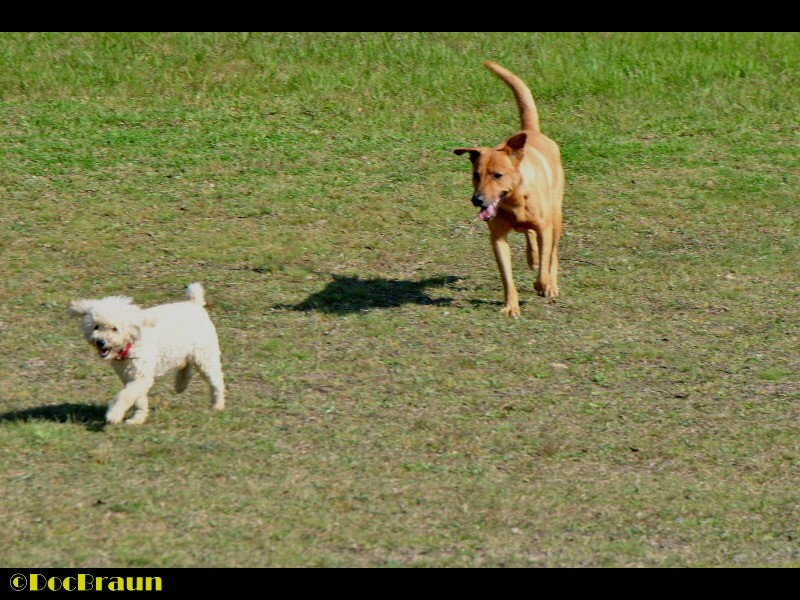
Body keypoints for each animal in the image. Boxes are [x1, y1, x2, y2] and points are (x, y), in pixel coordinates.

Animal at [68, 284, 225, 424]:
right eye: (96, 326)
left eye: (115, 329)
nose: (100, 342)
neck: (130, 345)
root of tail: (194, 303)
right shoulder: (130, 377)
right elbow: (138, 400)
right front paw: (137, 419)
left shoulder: (141, 376)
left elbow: (125, 395)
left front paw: (114, 414)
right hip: (186, 351)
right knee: (186, 366)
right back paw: (180, 384)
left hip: (205, 356)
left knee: (216, 382)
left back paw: (217, 405)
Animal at [454, 61, 564, 316]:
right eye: (476, 175)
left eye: (497, 175)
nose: (477, 200)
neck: (515, 199)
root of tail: (532, 132)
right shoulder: (497, 238)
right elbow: (507, 277)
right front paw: (511, 306)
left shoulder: (545, 228)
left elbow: (544, 266)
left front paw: (543, 285)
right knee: (530, 238)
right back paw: (532, 256)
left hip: (557, 215)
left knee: (552, 253)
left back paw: (550, 282)